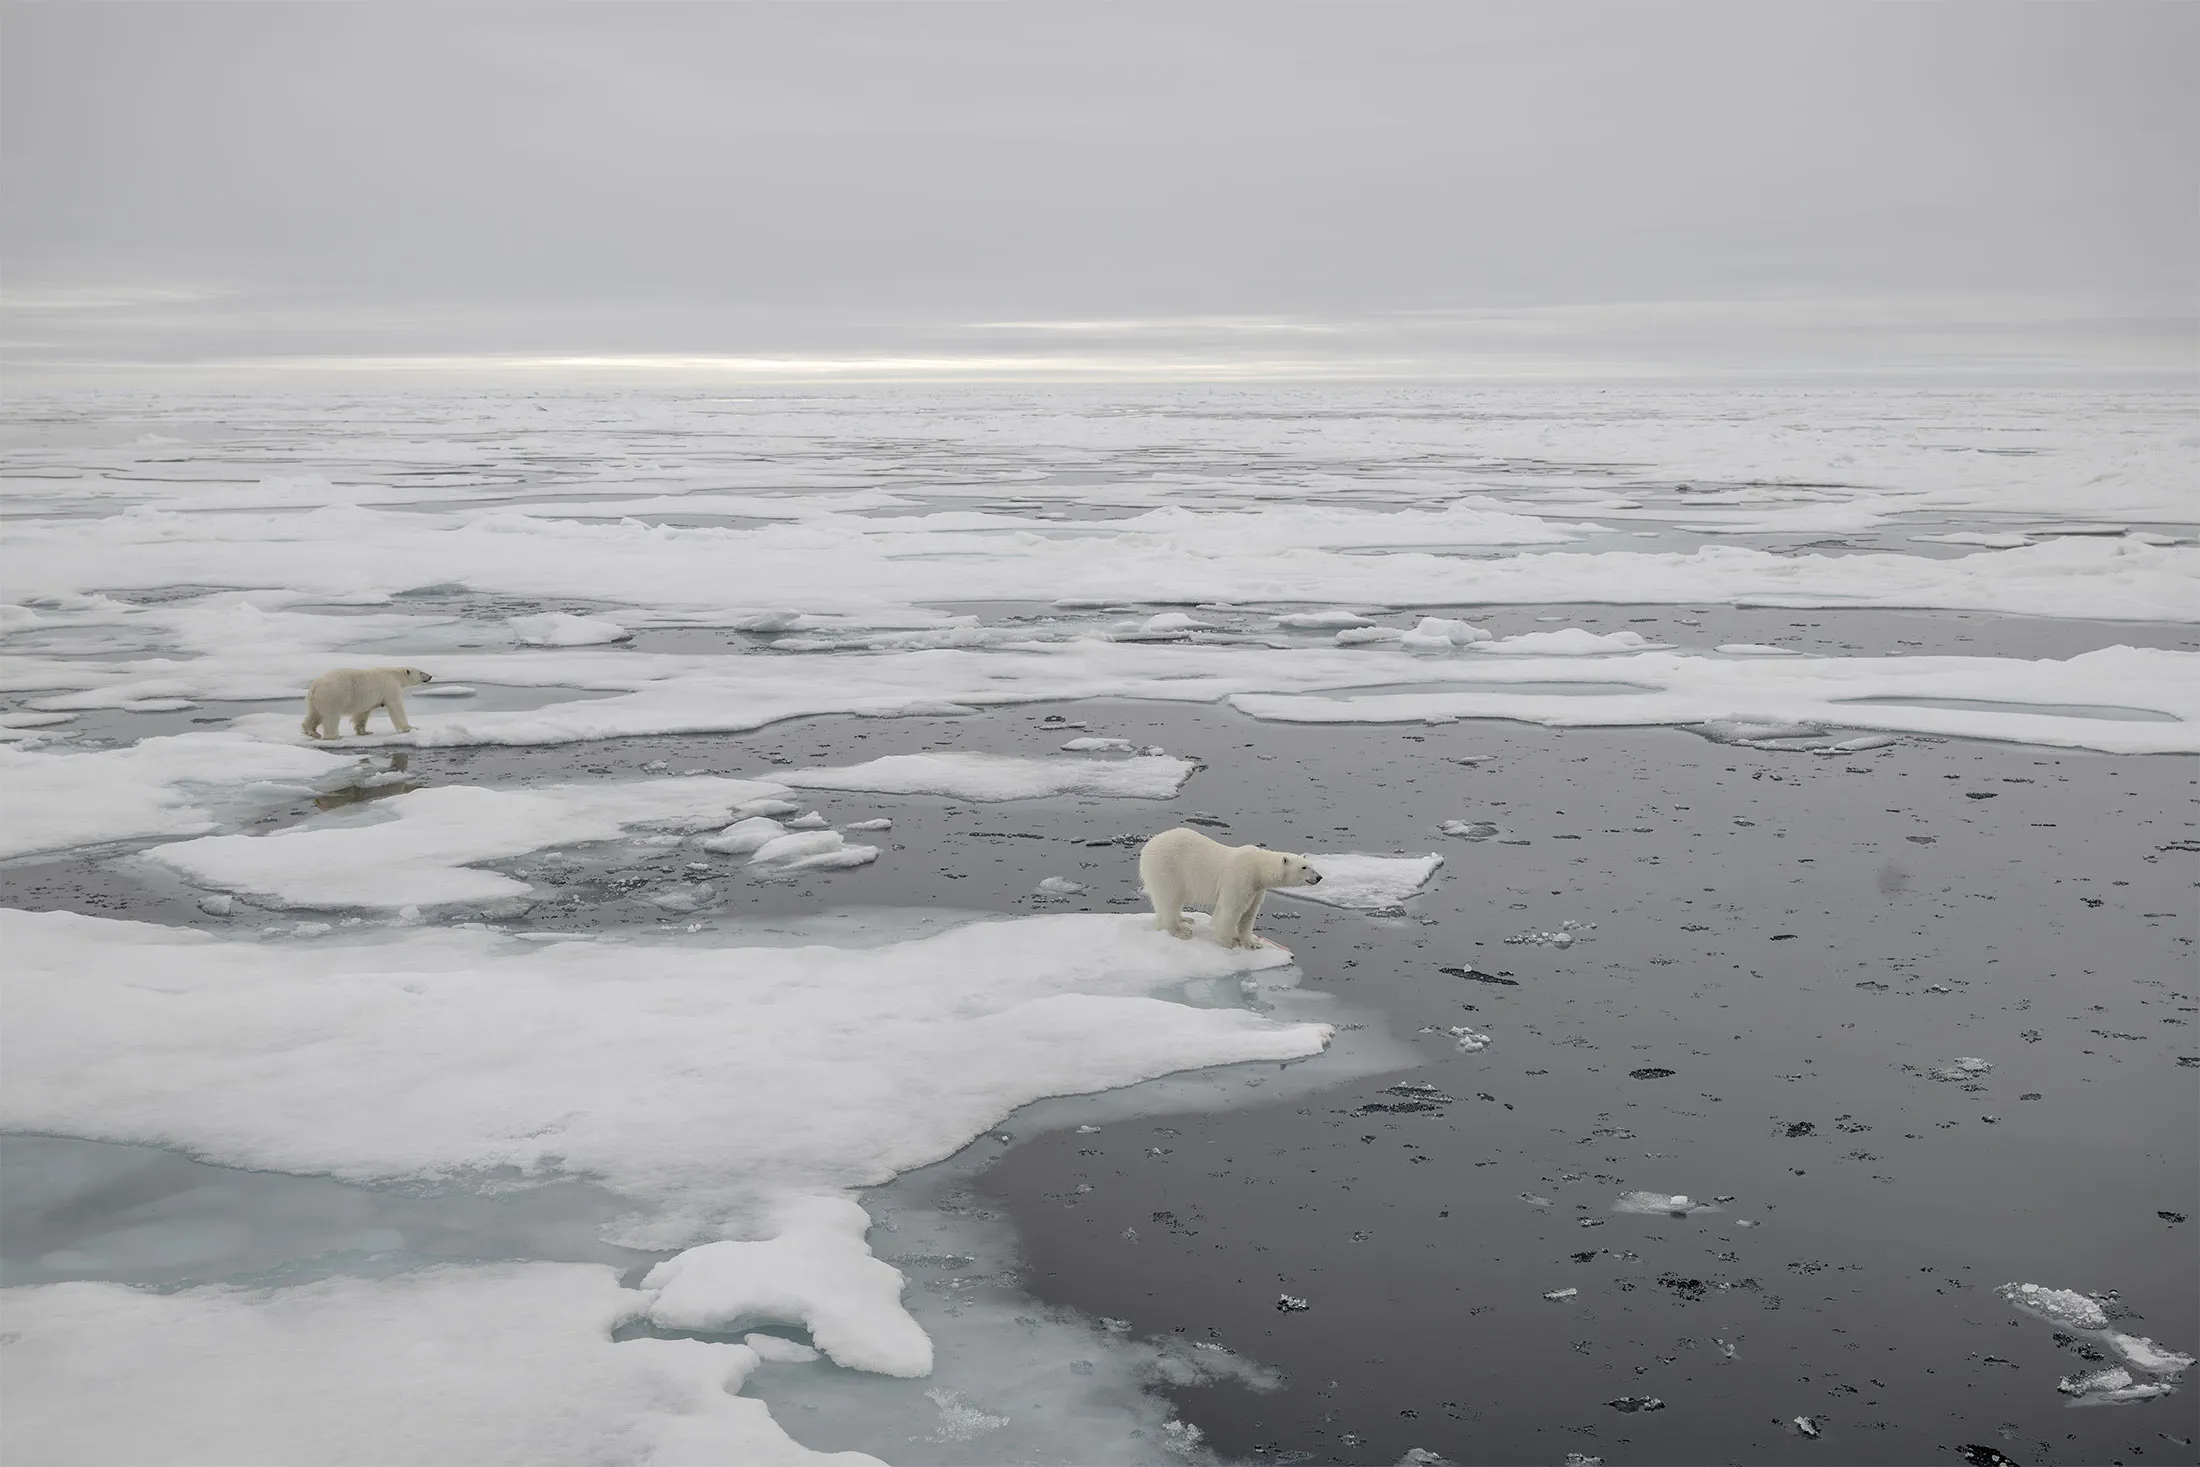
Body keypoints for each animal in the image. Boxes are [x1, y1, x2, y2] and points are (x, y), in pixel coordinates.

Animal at [301, 666, 433, 739]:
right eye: (421, 672)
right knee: (331, 716)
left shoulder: (366, 700)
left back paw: (312, 732)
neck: (394, 674)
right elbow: (396, 707)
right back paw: (334, 736)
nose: (430, 676)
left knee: (314, 714)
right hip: (333, 695)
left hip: (315, 699)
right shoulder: (390, 687)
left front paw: (364, 731)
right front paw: (410, 728)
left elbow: (363, 713)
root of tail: (315, 686)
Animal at [1138, 826, 1323, 950]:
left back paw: (1185, 918)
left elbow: (1249, 914)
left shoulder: (1256, 888)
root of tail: (1147, 847)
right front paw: (1229, 942)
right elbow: (1231, 910)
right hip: (1167, 867)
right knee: (1169, 898)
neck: (1258, 867)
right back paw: (1180, 930)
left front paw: (1252, 943)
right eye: (1304, 867)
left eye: (1312, 865)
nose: (1319, 877)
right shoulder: (1240, 878)